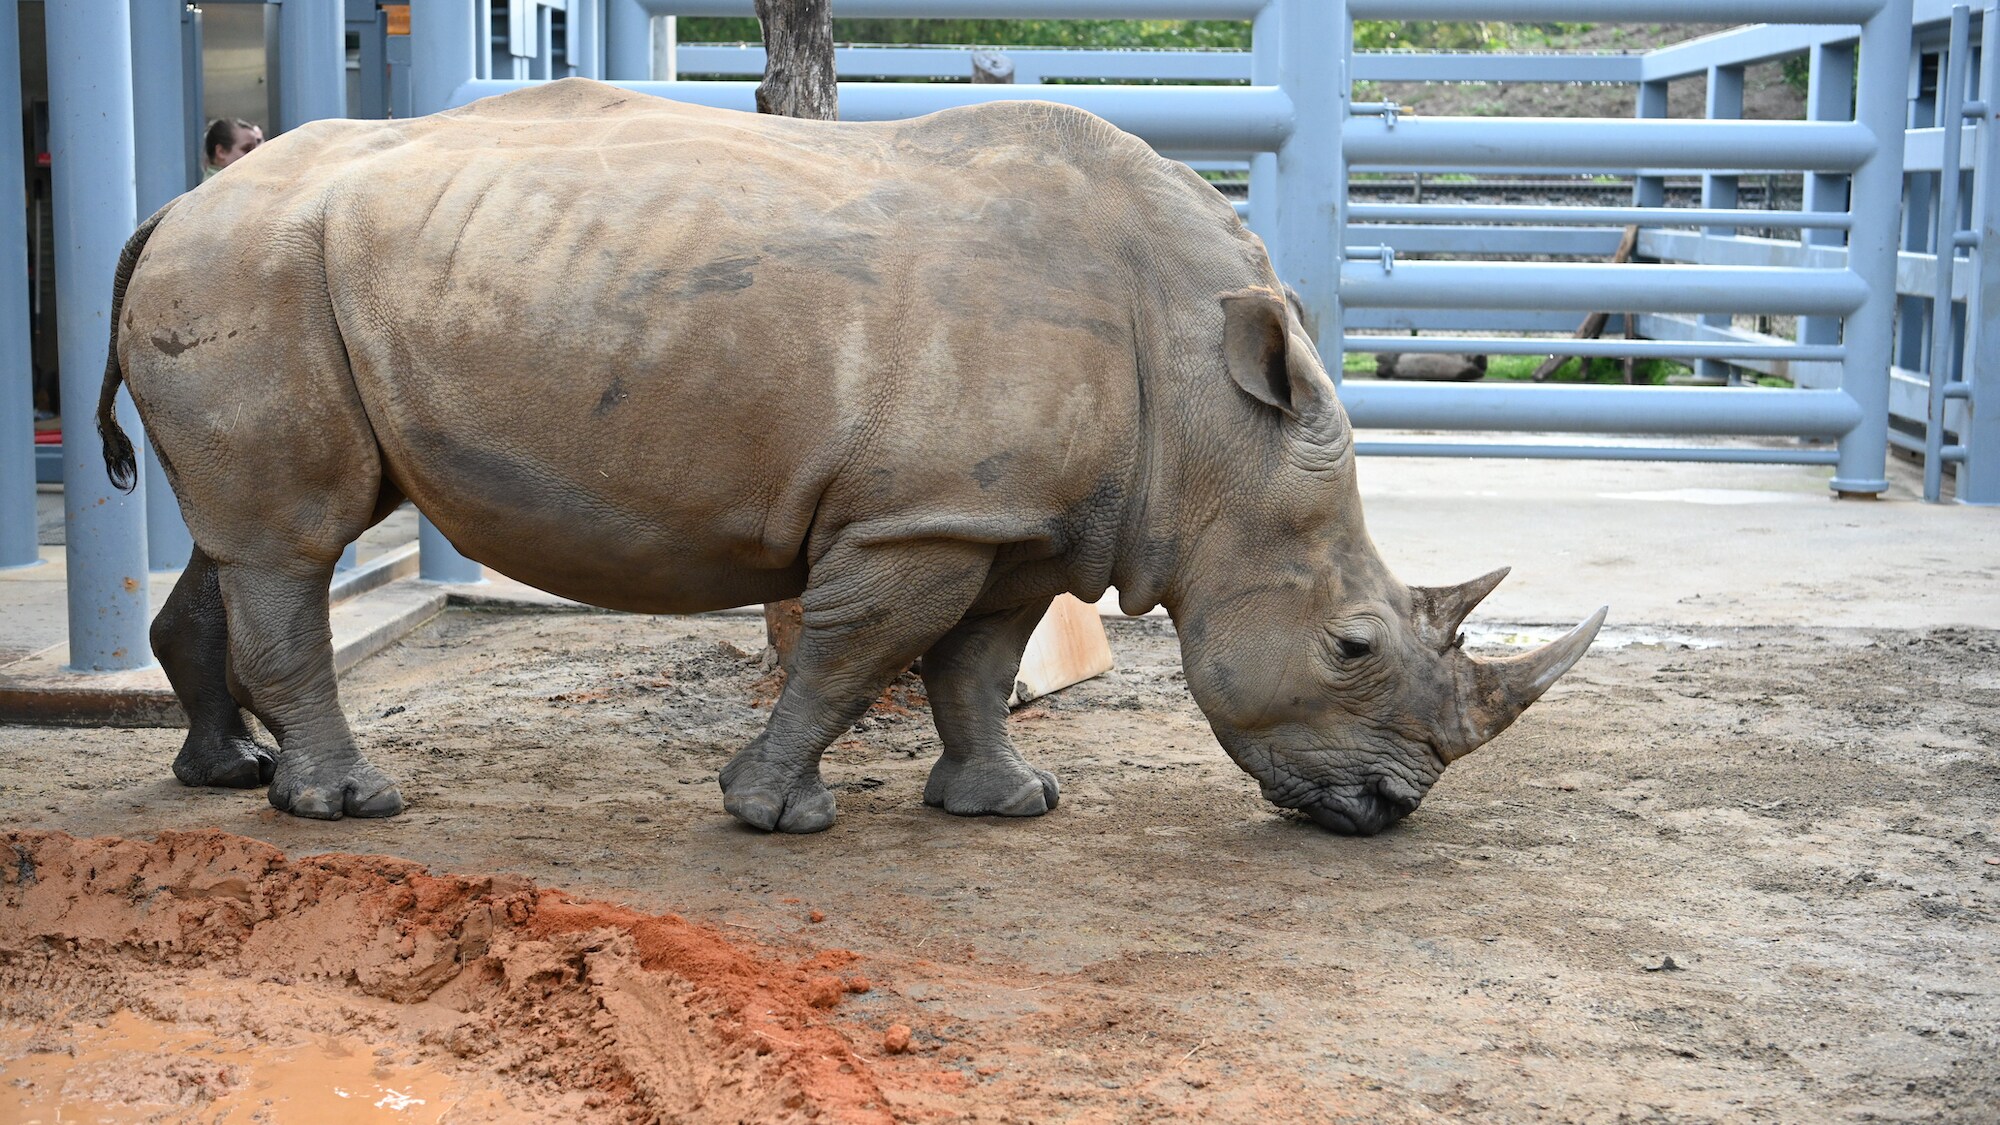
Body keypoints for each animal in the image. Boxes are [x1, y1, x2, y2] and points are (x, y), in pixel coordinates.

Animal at [101, 79, 1600, 828]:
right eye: (1351, 645)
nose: (1389, 809)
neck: (1210, 419)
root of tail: (179, 199)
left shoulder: (1017, 520)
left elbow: (977, 667)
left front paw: (1009, 806)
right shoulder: (920, 515)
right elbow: (852, 655)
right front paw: (776, 816)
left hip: (261, 269)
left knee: (242, 535)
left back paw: (226, 779)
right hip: (259, 268)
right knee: (295, 537)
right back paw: (349, 809)